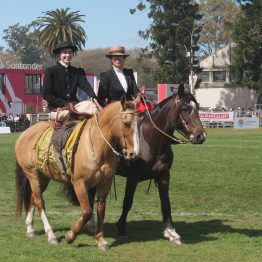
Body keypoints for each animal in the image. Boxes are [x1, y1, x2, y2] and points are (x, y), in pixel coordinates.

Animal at [14, 95, 141, 251]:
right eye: (126, 123)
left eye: (139, 124)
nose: (134, 153)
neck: (97, 144)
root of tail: (25, 133)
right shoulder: (79, 184)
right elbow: (87, 211)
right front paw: (70, 236)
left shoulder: (105, 183)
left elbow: (101, 210)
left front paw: (101, 240)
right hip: (32, 174)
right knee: (39, 202)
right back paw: (51, 235)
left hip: (43, 177)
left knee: (33, 198)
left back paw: (30, 228)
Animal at [114, 83, 207, 245]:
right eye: (185, 109)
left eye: (197, 107)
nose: (200, 136)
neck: (149, 141)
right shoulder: (132, 178)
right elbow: (127, 202)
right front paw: (121, 229)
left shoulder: (163, 176)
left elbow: (166, 203)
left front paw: (171, 232)